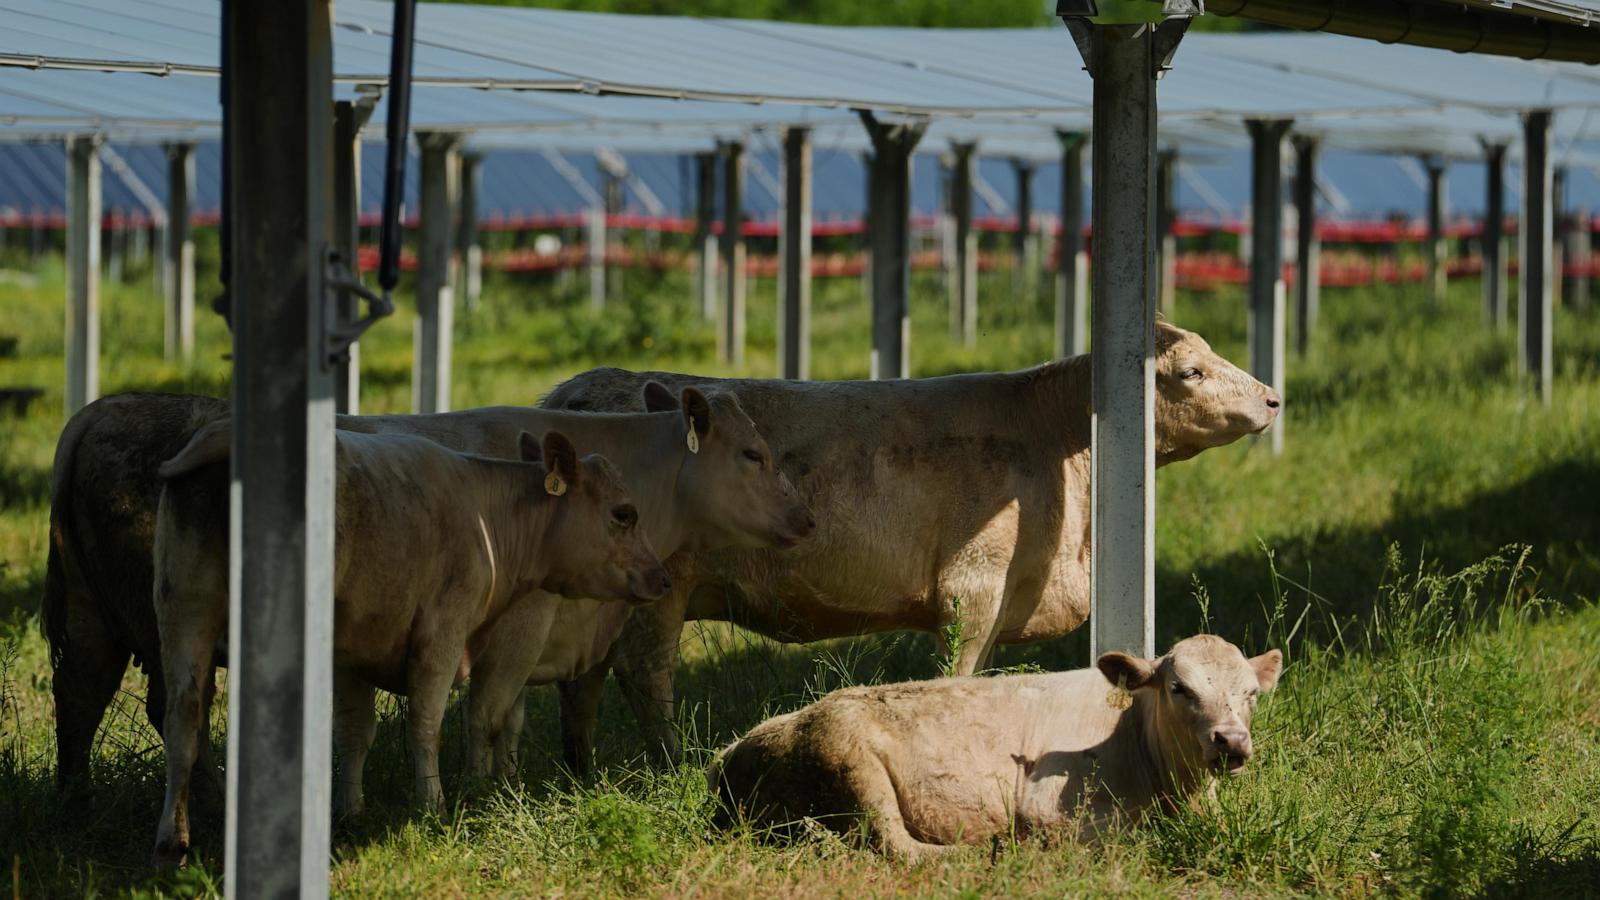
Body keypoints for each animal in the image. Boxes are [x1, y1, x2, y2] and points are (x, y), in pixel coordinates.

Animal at [150, 423, 669, 866]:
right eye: (624, 514)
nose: (661, 577)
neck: (487, 516)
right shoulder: (442, 634)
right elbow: (434, 723)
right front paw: (441, 804)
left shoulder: (350, 654)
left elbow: (355, 732)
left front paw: (351, 810)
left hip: (184, 607)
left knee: (183, 716)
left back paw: (173, 838)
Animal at [542, 321, 1280, 768]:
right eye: (1190, 371)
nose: (1273, 398)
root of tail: (576, 389)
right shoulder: (973, 585)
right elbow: (958, 673)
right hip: (656, 591)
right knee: (644, 673)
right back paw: (670, 764)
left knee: (583, 680)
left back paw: (582, 770)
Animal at [709, 635, 1284, 860]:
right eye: (1179, 688)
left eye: (1252, 694)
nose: (1231, 740)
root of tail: (731, 751)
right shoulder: (1048, 807)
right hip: (851, 760)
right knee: (901, 847)